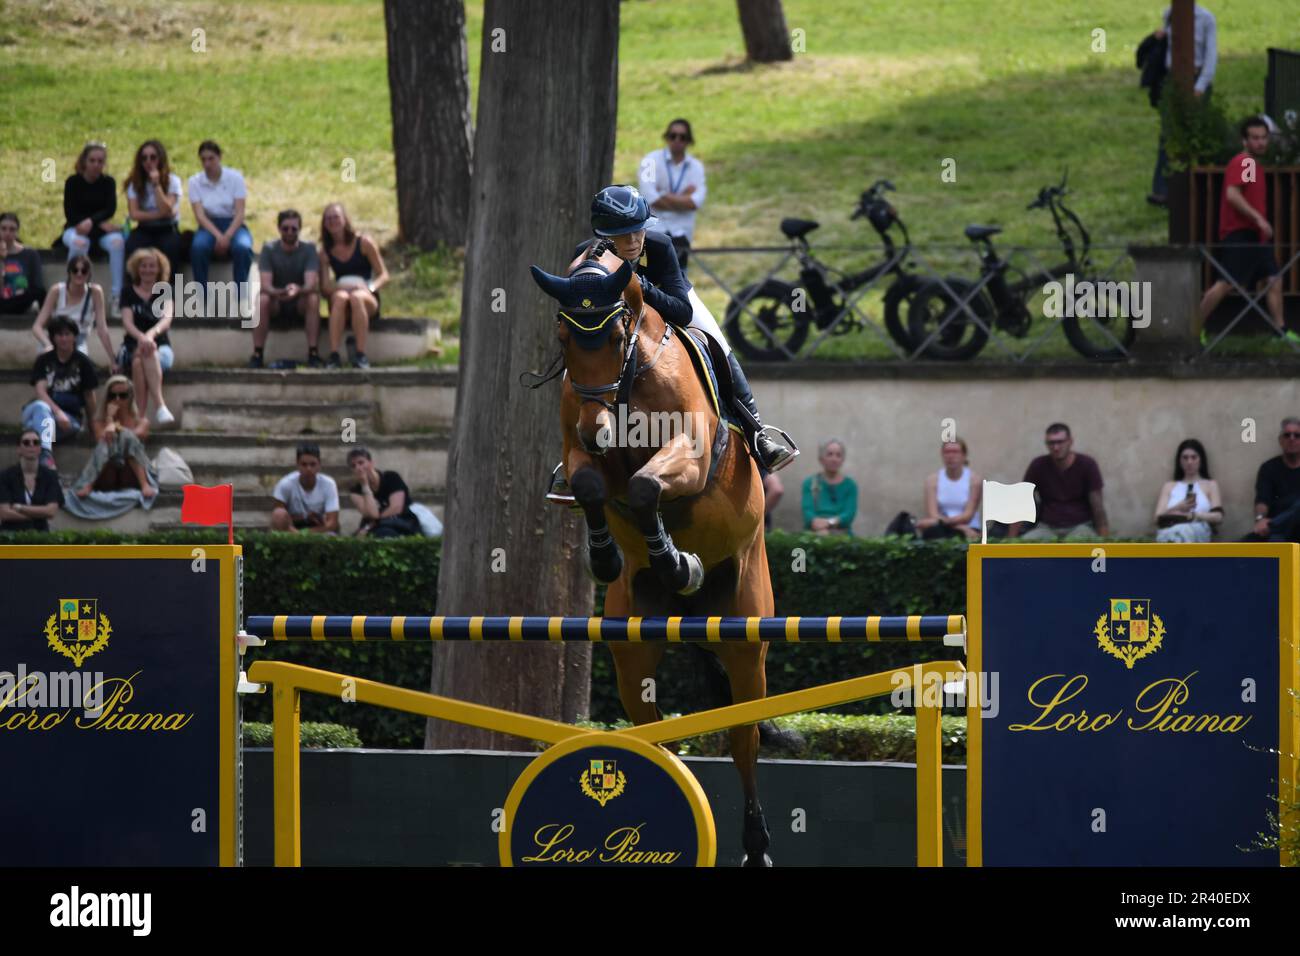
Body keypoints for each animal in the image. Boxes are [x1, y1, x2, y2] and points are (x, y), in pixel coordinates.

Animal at [527, 247, 769, 868]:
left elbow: (645, 486)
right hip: (634, 650)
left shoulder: (688, 452)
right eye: (563, 336)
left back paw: (756, 847)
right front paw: (608, 559)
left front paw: (678, 563)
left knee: (745, 739)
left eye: (615, 334)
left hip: (746, 636)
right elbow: (594, 485)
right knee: (656, 733)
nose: (597, 428)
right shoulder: (582, 449)